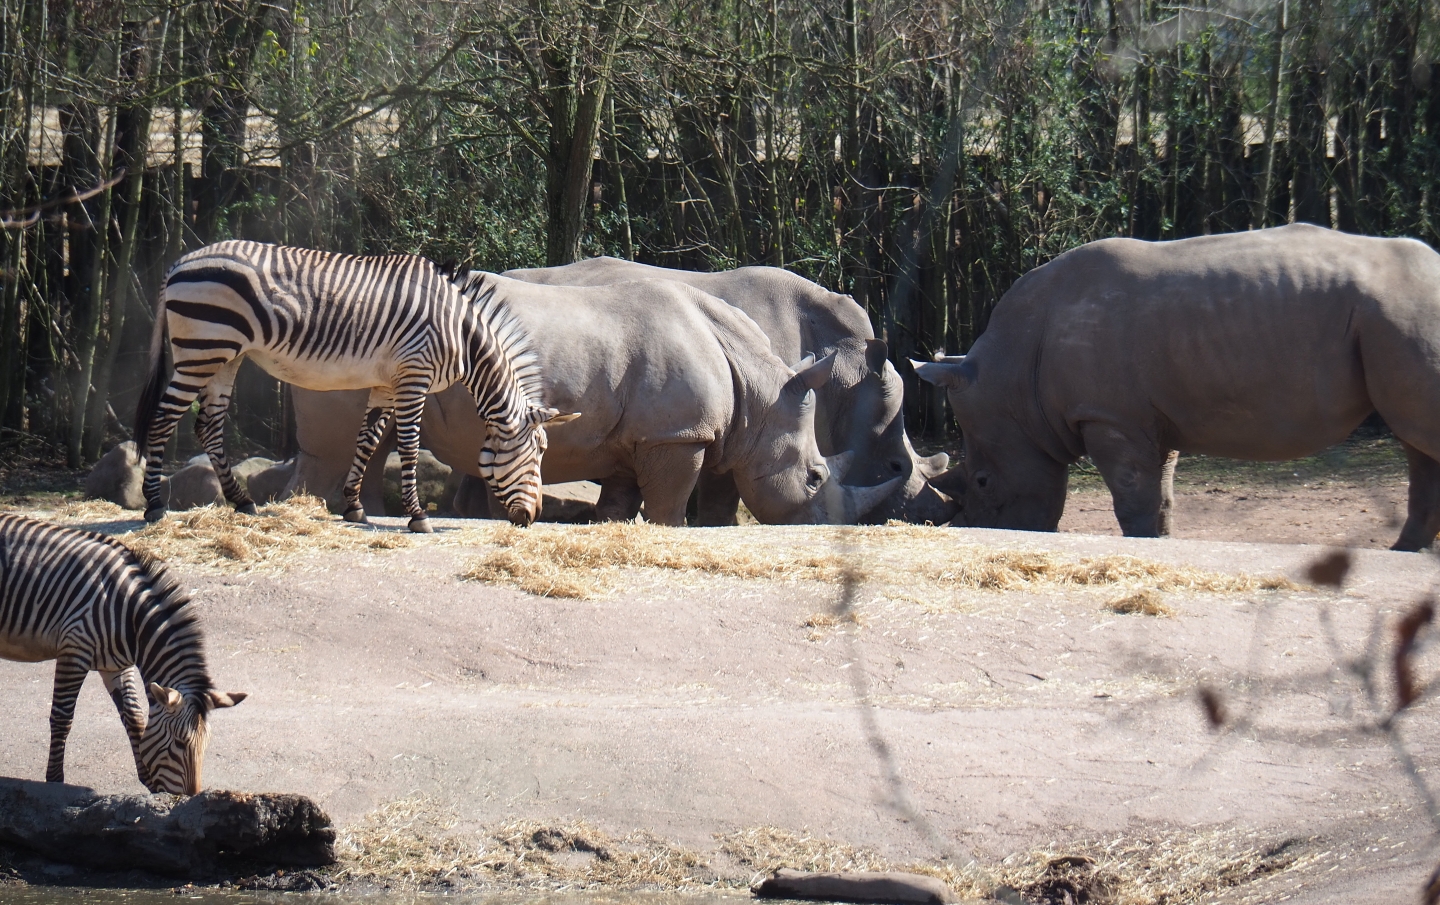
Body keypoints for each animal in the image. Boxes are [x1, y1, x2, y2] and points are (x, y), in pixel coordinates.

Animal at [0, 513, 245, 794]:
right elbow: (62, 717)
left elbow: (134, 718)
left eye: (207, 744)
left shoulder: (115, 666)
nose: (191, 798)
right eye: (180, 743)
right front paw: (55, 781)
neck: (130, 616)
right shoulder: (74, 649)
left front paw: (148, 782)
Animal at [134, 240, 576, 532]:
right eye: (539, 451)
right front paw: (418, 517)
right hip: (202, 350)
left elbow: (367, 440)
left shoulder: (386, 383)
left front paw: (354, 507)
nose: (531, 519)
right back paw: (153, 506)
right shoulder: (413, 377)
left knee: (208, 426)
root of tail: (179, 263)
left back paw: (243, 502)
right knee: (163, 419)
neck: (463, 334)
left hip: (226, 357)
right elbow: (409, 445)